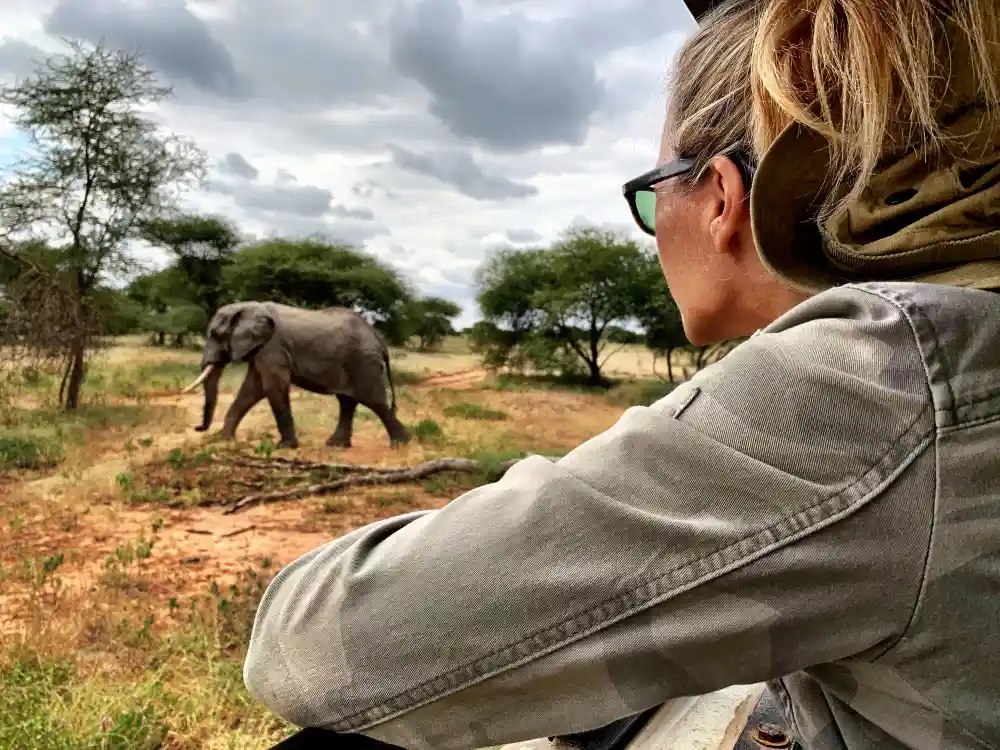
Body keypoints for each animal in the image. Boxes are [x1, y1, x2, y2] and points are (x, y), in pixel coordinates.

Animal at [181, 302, 410, 450]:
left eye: (215, 335)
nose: (198, 428)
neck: (247, 307)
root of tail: (379, 338)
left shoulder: (273, 347)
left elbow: (272, 387)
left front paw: (284, 447)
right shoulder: (261, 349)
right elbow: (252, 389)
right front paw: (224, 440)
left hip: (363, 361)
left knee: (373, 400)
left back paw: (401, 444)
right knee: (347, 401)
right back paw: (336, 446)